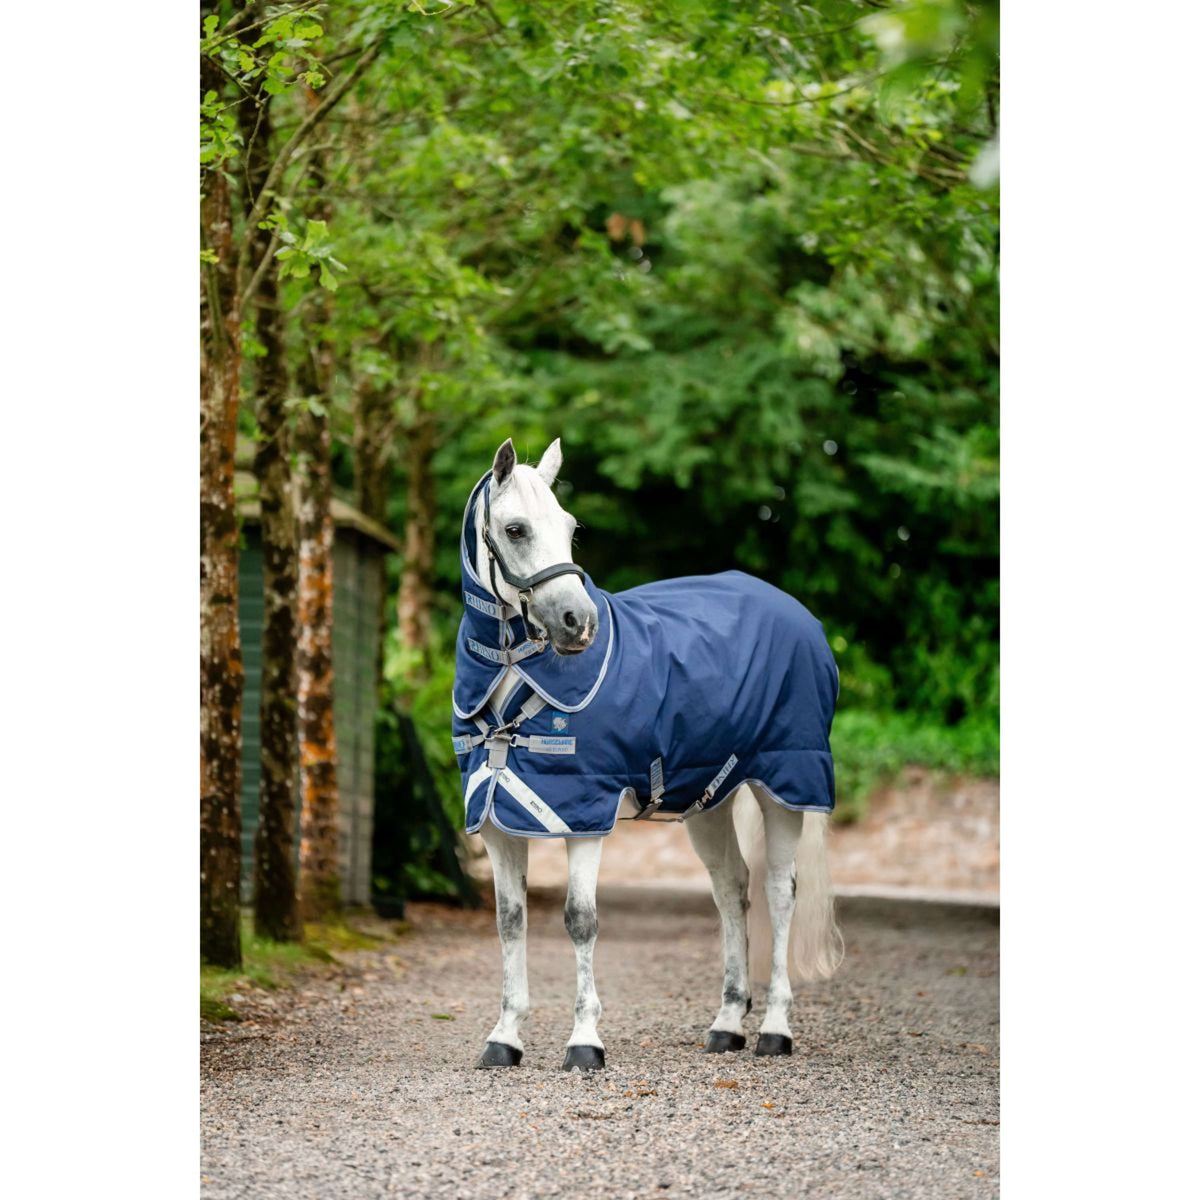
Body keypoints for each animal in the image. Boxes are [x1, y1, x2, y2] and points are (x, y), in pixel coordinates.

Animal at [452, 436, 842, 1071]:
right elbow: (510, 922)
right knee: (731, 890)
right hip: (711, 800)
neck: (516, 676)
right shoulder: (494, 820)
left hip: (786, 785)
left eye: (569, 526)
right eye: (514, 529)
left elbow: (580, 920)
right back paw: (727, 1024)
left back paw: (775, 1029)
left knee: (780, 893)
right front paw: (505, 1037)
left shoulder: (584, 814)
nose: (577, 623)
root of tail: (800, 616)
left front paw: (585, 1042)